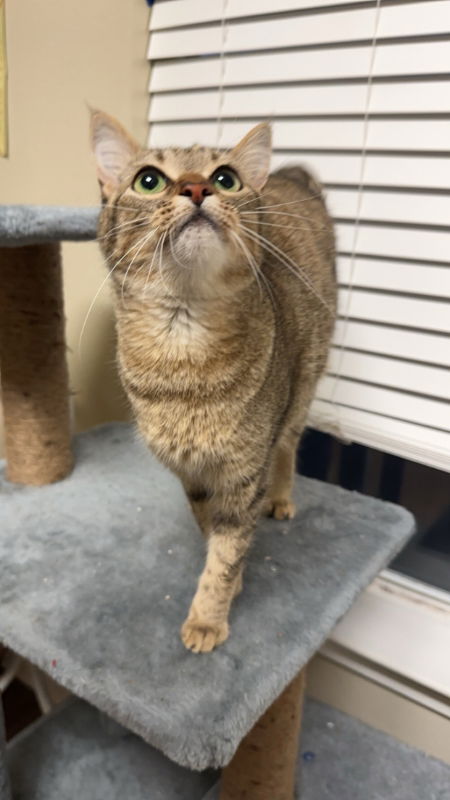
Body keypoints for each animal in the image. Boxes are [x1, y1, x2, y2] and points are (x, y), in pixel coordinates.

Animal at [91, 109, 336, 652]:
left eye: (226, 178)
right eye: (148, 180)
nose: (197, 187)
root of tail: (291, 176)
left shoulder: (244, 474)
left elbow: (226, 551)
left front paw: (208, 619)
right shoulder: (193, 475)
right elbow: (212, 534)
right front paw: (230, 583)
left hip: (303, 386)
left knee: (289, 445)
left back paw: (282, 498)